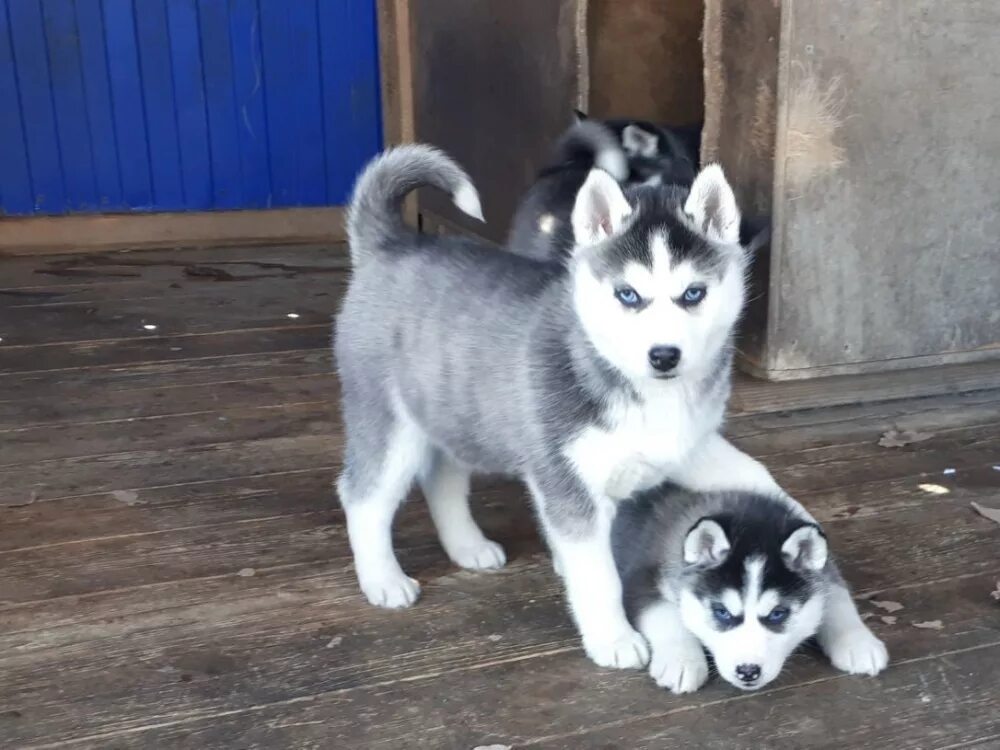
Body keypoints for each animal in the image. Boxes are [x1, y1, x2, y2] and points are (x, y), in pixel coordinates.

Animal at [338, 142, 788, 668]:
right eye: (627, 295)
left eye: (693, 294)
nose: (663, 355)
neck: (645, 389)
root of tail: (390, 244)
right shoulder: (570, 484)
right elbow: (598, 575)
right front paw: (613, 639)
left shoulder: (687, 445)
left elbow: (757, 474)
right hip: (390, 423)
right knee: (364, 496)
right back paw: (383, 579)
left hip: (454, 414)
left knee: (442, 477)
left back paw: (469, 546)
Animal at [612, 488, 888, 692]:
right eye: (722, 612)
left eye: (777, 614)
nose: (748, 672)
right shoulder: (642, 576)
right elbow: (663, 614)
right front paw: (681, 660)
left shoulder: (825, 571)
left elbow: (837, 595)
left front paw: (858, 643)